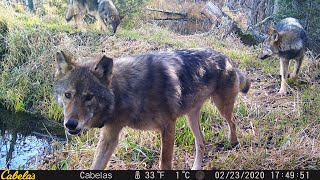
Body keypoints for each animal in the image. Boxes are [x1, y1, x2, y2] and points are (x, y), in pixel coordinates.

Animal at [53, 47, 251, 170]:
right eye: (68, 95)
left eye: (89, 97)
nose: (70, 124)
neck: (127, 91)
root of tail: (226, 58)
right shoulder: (110, 136)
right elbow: (96, 166)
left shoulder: (168, 126)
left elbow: (165, 163)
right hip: (191, 116)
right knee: (201, 142)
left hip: (222, 107)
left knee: (232, 122)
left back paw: (233, 142)